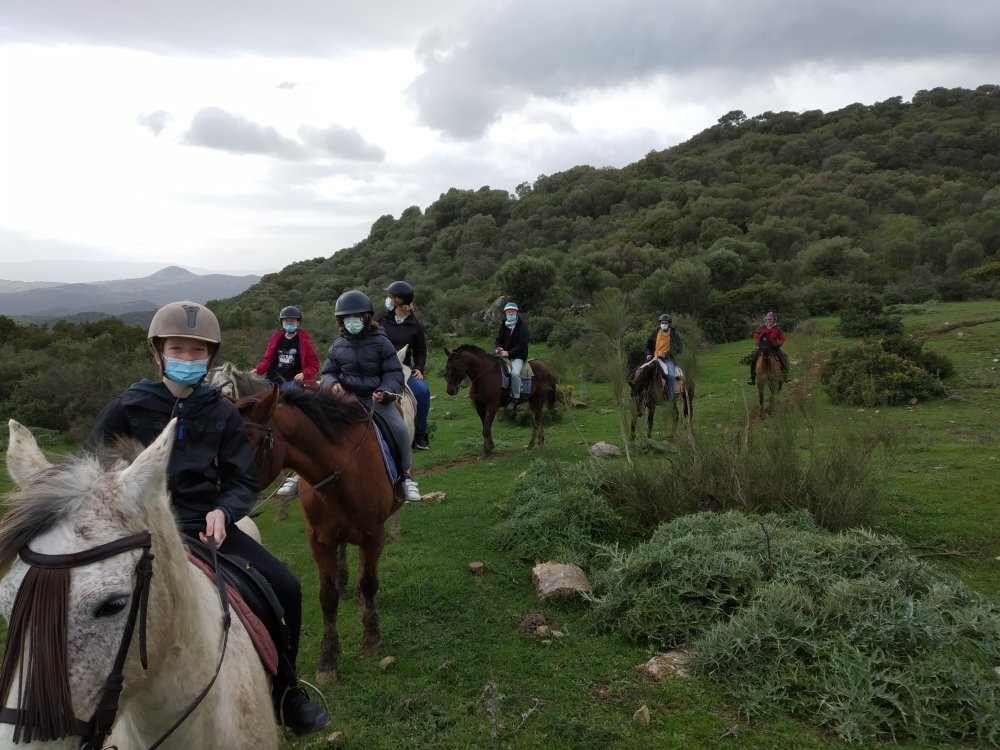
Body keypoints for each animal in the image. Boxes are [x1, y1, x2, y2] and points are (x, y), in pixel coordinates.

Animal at [235, 388, 402, 688]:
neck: (341, 475)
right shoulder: (319, 540)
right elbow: (327, 596)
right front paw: (328, 660)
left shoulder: (373, 535)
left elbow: (369, 583)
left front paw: (371, 638)